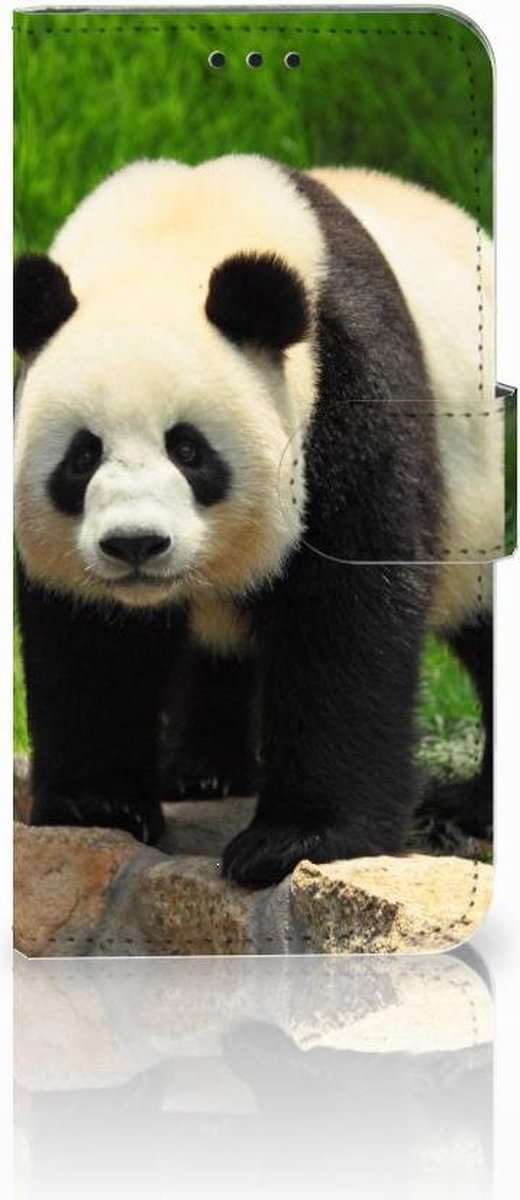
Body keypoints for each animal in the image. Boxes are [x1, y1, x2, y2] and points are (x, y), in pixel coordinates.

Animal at [14, 154, 502, 888]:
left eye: (188, 450)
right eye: (82, 455)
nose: (136, 544)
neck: (172, 236)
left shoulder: (346, 387)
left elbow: (346, 613)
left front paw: (296, 839)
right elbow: (88, 638)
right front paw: (96, 805)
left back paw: (471, 807)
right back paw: (201, 771)